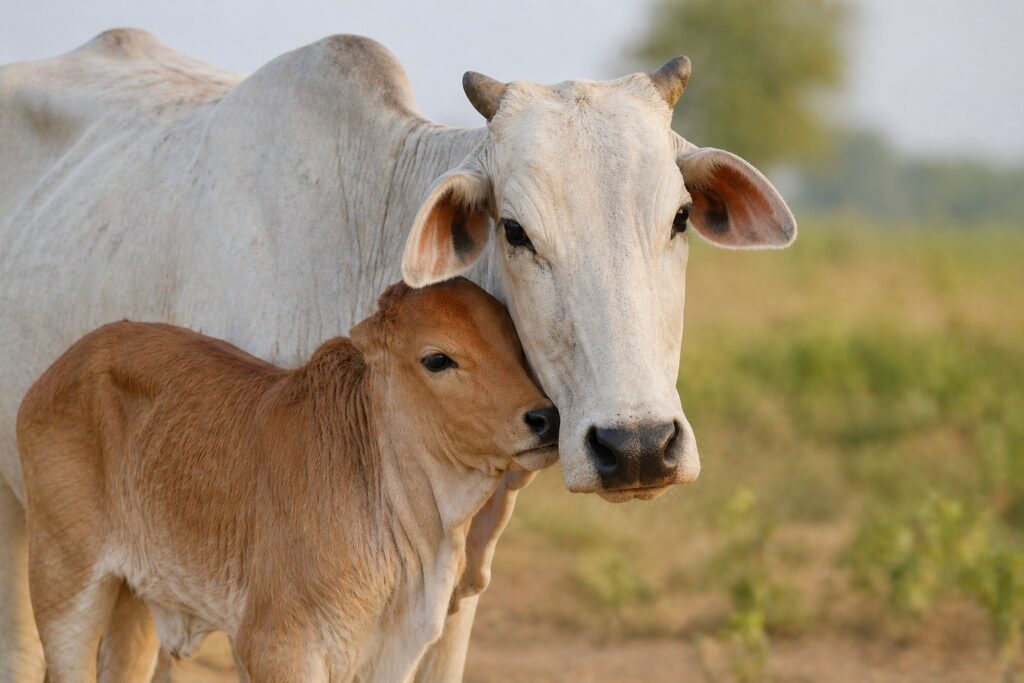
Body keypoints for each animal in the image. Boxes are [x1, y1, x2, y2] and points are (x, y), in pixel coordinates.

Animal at [17, 278, 559, 683]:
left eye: (517, 347)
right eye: (438, 359)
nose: (545, 418)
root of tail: (59, 370)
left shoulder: (396, 652)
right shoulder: (278, 647)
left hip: (132, 600)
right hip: (65, 583)